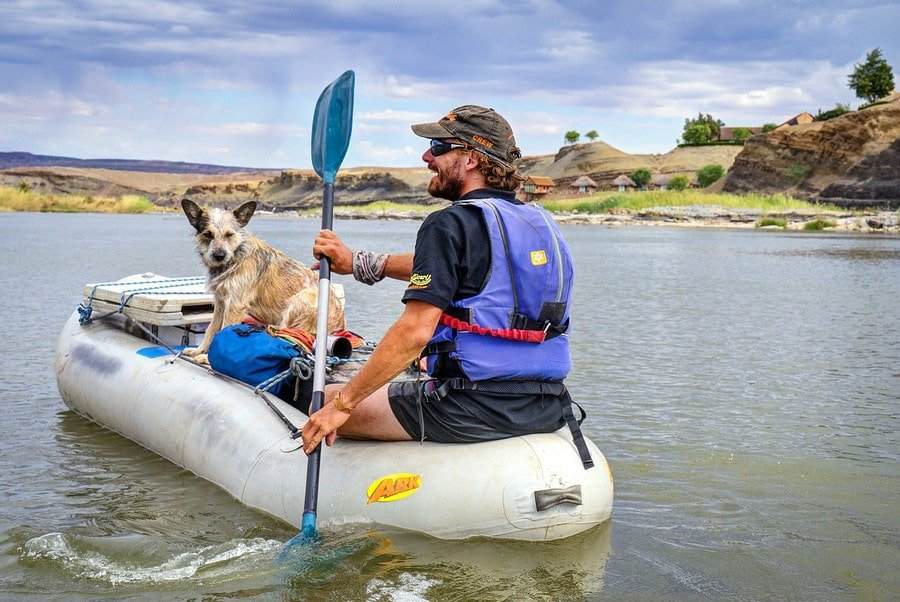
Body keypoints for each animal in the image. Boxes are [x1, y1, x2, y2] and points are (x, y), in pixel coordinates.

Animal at [180, 199, 344, 364]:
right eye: (207, 234)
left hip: (300, 300)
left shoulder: (235, 304)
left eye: (229, 234)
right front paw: (199, 350)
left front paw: (209, 359)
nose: (219, 256)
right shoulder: (220, 302)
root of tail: (339, 326)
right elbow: (212, 329)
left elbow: (223, 330)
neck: (235, 257)